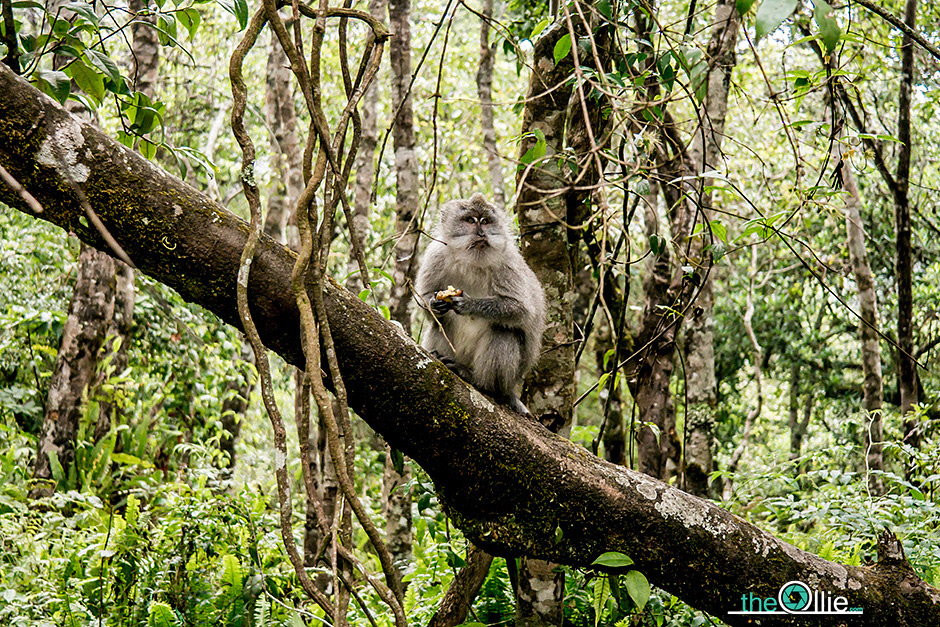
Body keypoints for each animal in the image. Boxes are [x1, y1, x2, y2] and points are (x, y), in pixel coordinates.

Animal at [416, 194, 548, 414]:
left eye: (485, 221)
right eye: (470, 220)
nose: (480, 233)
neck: (472, 261)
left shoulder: (507, 262)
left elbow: (521, 310)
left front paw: (468, 304)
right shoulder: (436, 255)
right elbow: (425, 298)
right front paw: (435, 303)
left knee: (504, 333)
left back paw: (478, 381)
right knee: (440, 324)